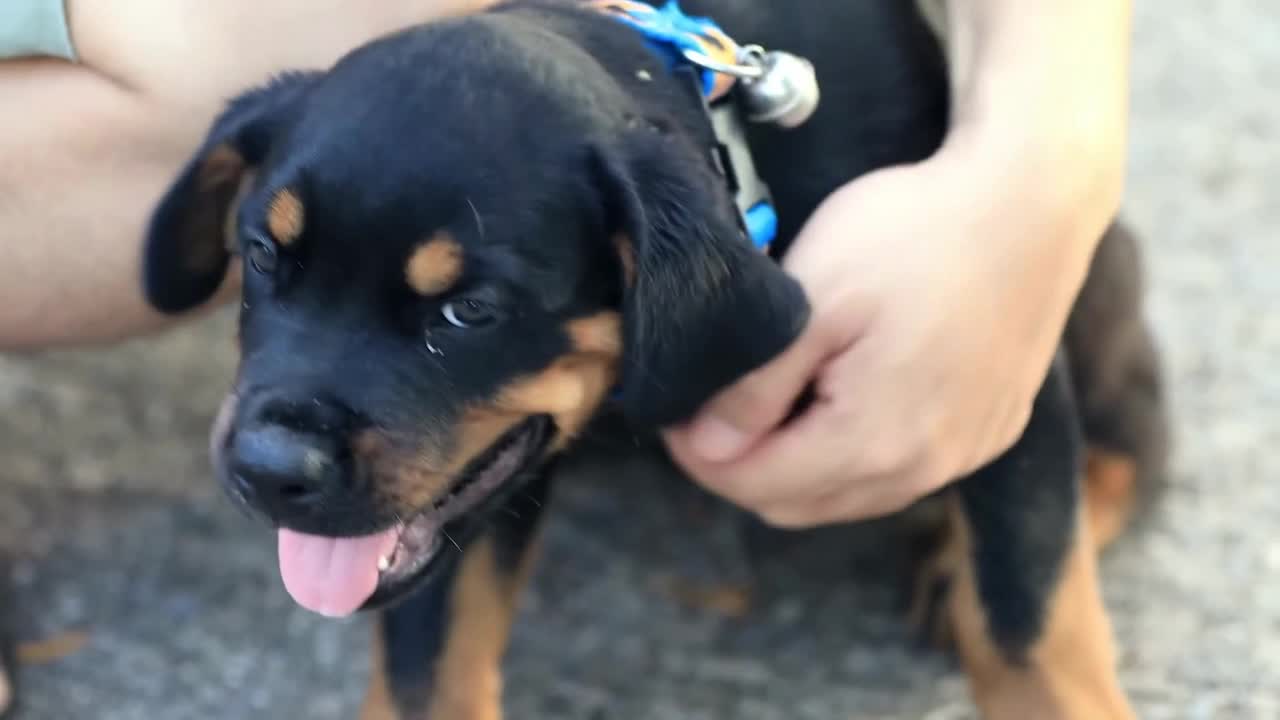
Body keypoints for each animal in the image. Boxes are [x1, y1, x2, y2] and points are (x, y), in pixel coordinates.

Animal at [142, 2, 1172, 712]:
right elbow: (429, 671)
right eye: (263, 253)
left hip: (1084, 274)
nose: (268, 472)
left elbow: (1031, 620)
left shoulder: (984, 355)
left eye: (470, 312)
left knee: (1133, 434)